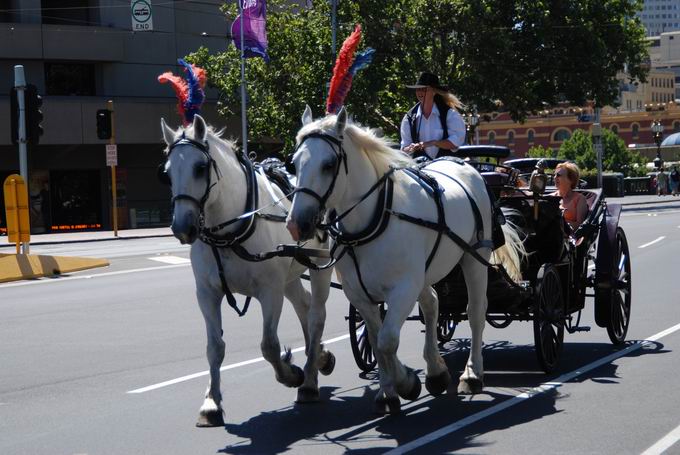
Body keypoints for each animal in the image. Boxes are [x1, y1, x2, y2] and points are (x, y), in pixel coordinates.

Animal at [155, 60, 334, 428]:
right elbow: (214, 347)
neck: (229, 230)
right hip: (292, 274)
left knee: (316, 315)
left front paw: (291, 373)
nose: (182, 227)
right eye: (166, 173)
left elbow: (269, 345)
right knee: (304, 306)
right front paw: (211, 402)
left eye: (200, 167)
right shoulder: (207, 292)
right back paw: (319, 356)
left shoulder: (269, 290)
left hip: (320, 264)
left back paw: (309, 380)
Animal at [284, 26, 524, 416]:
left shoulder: (402, 288)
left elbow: (386, 340)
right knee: (433, 305)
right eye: (293, 162)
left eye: (329, 164)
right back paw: (437, 371)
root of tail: (464, 165)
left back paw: (471, 373)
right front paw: (391, 389)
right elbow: (377, 336)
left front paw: (405, 382)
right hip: (426, 272)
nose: (298, 224)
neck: (372, 222)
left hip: (473, 258)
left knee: (475, 311)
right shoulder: (361, 293)